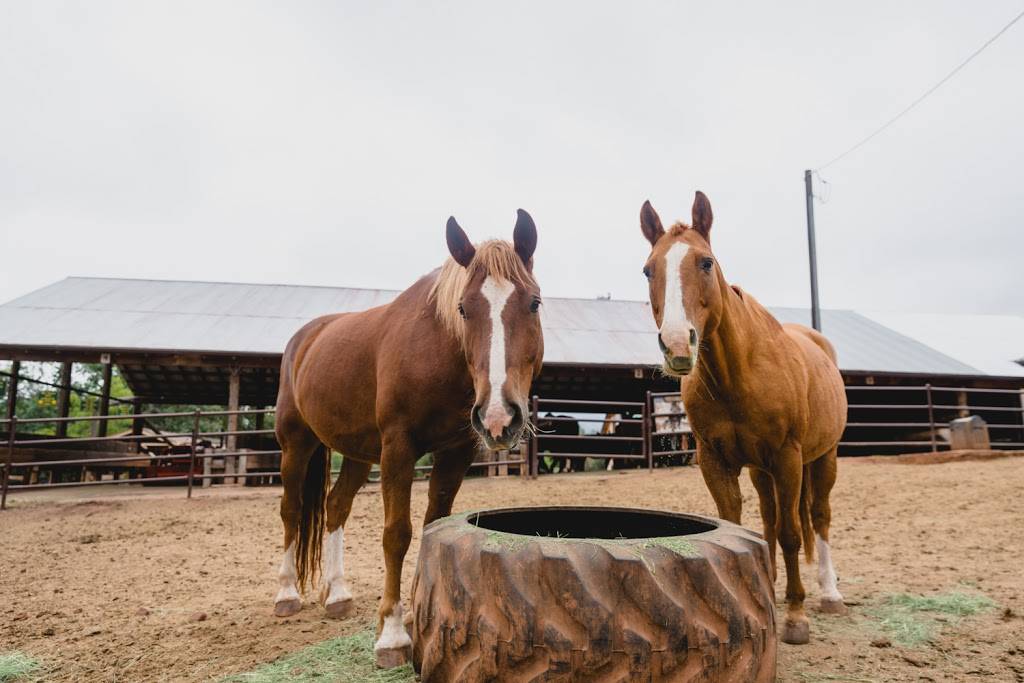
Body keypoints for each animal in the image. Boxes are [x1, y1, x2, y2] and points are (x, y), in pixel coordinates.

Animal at [272, 210, 544, 663]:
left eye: (534, 302)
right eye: (463, 309)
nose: (499, 416)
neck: (437, 350)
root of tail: (305, 339)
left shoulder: (455, 452)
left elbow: (435, 526)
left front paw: (420, 617)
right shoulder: (398, 448)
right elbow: (396, 535)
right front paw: (393, 633)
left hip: (357, 453)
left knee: (335, 507)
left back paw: (337, 594)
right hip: (296, 445)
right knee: (292, 510)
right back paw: (287, 594)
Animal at [638, 192, 847, 647]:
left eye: (706, 262)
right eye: (648, 269)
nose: (677, 345)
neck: (739, 373)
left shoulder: (788, 458)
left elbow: (791, 533)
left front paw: (795, 617)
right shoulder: (716, 461)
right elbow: (733, 526)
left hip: (823, 458)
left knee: (818, 517)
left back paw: (829, 593)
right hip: (761, 471)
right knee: (769, 517)